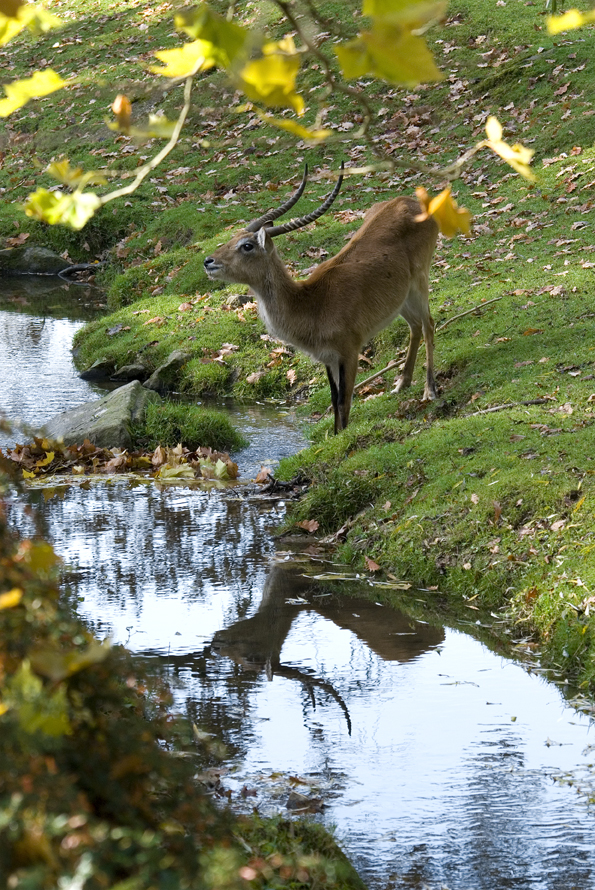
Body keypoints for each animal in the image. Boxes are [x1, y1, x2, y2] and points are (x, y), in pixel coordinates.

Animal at [203, 166, 440, 434]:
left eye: (247, 245)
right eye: (233, 238)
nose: (208, 261)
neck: (312, 302)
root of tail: (411, 201)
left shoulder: (349, 352)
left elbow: (344, 401)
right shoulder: (328, 358)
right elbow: (334, 400)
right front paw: (336, 435)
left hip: (419, 284)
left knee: (429, 324)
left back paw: (430, 391)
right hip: (402, 299)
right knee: (415, 327)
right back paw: (401, 384)